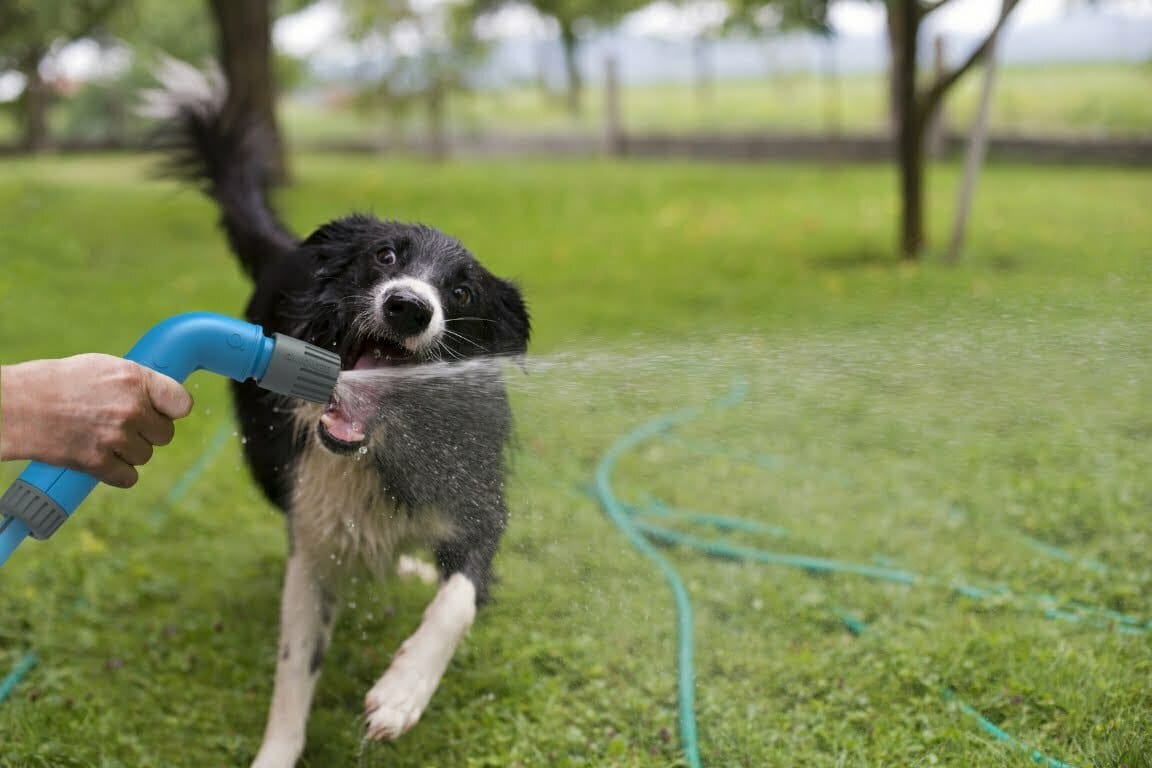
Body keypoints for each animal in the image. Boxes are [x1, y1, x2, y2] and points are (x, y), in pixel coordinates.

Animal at [139, 61, 529, 768]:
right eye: (386, 257)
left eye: (461, 292)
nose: (409, 306)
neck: (377, 447)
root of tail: (288, 249)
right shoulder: (313, 536)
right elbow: (295, 666)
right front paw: (277, 752)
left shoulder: (479, 502)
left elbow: (457, 601)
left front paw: (402, 692)